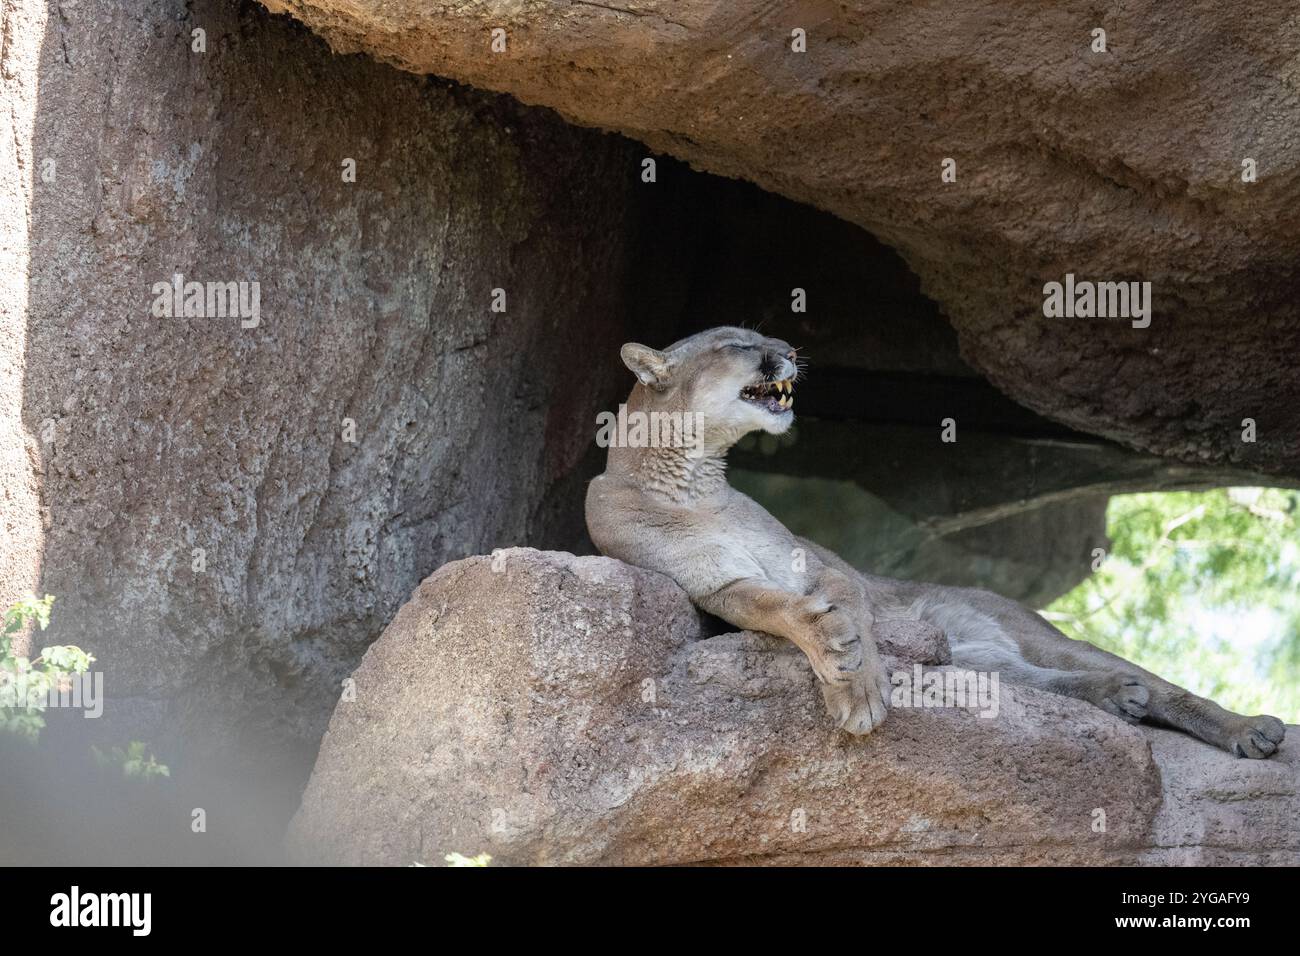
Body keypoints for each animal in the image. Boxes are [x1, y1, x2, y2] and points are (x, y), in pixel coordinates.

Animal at [590, 325, 1289, 759]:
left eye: (766, 337)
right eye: (738, 344)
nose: (789, 347)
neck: (694, 480)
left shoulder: (819, 564)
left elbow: (850, 609)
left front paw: (861, 684)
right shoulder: (713, 584)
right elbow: (780, 609)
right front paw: (840, 664)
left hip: (1033, 629)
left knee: (1161, 686)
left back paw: (1248, 729)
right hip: (979, 658)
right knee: (1035, 680)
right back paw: (1116, 697)